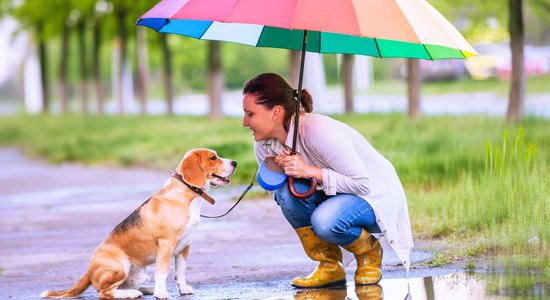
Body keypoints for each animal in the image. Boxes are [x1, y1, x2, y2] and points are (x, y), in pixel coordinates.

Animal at [38, 149, 237, 298]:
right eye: (213, 157)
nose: (235, 162)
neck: (185, 195)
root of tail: (88, 271)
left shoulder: (185, 246)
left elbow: (180, 272)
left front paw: (182, 289)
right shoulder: (166, 244)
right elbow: (163, 272)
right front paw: (161, 293)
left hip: (140, 274)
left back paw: (144, 290)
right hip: (120, 265)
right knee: (105, 292)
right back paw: (132, 294)